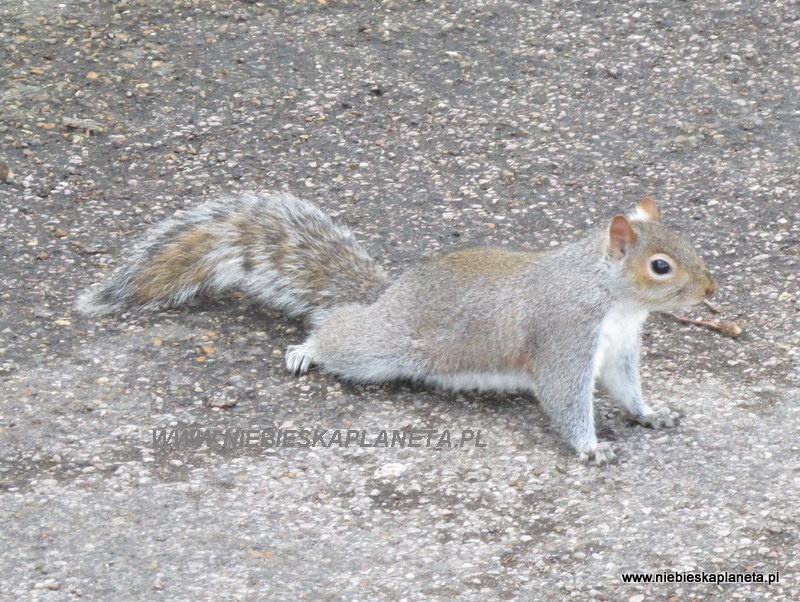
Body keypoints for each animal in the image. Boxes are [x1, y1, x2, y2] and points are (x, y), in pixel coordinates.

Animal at [79, 192, 720, 464]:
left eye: (690, 244)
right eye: (661, 266)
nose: (711, 292)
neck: (615, 301)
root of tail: (386, 297)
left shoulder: (617, 350)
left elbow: (626, 390)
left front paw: (651, 413)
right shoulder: (564, 336)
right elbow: (566, 397)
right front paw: (591, 447)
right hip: (380, 348)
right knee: (336, 330)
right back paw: (305, 350)